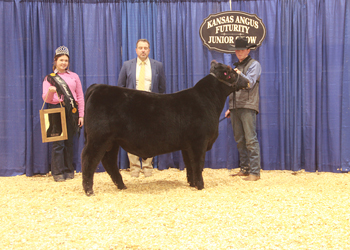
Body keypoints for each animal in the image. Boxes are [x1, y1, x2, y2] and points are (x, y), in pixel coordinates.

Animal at [82, 60, 249, 195]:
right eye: (231, 72)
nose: (247, 81)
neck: (208, 101)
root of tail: (98, 87)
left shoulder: (187, 145)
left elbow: (190, 165)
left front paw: (192, 184)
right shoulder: (199, 141)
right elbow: (198, 163)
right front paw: (200, 186)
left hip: (112, 141)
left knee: (108, 161)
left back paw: (121, 186)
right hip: (98, 137)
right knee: (88, 158)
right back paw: (89, 190)